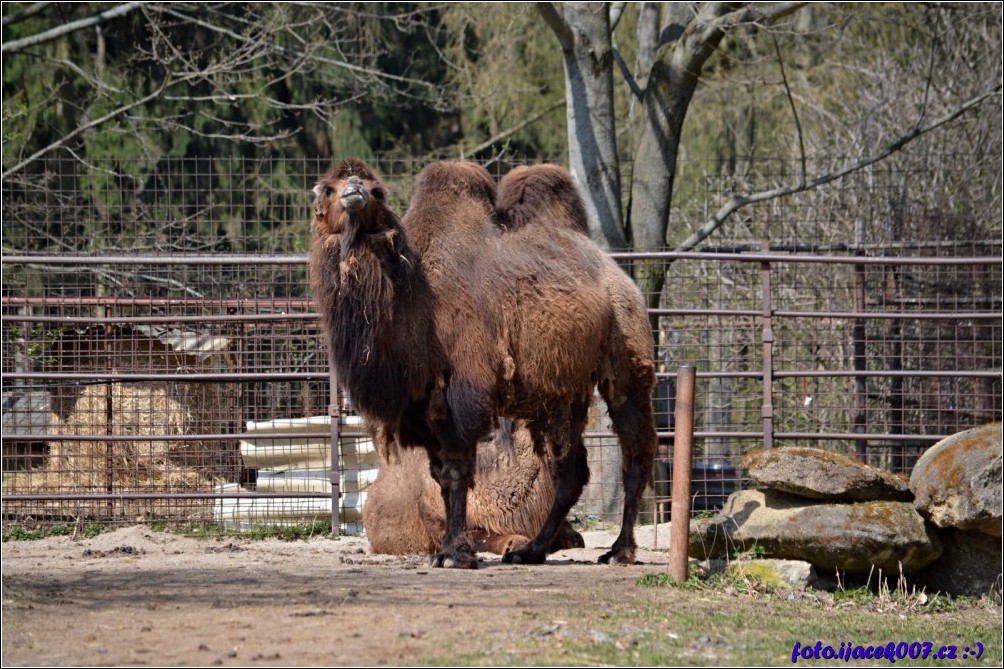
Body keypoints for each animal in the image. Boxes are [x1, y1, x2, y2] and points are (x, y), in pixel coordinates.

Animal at [311, 157, 658, 566]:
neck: (417, 301)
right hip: (563, 394)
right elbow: (439, 477)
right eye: (327, 188)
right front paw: (448, 550)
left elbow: (457, 472)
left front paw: (455, 554)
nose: (354, 191)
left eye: (376, 190)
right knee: (569, 469)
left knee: (635, 452)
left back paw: (619, 551)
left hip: (626, 360)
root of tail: (617, 273)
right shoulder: (424, 410)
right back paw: (531, 551)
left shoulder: (462, 395)